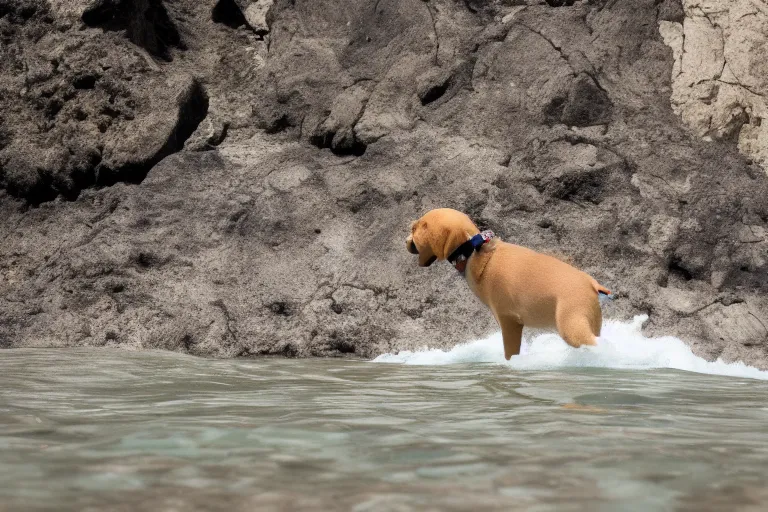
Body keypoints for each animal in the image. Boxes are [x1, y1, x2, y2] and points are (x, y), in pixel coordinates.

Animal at [404, 208, 608, 360]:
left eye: (414, 229)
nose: (406, 241)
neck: (474, 251)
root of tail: (592, 284)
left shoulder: (508, 319)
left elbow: (510, 351)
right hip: (593, 319)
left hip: (572, 320)